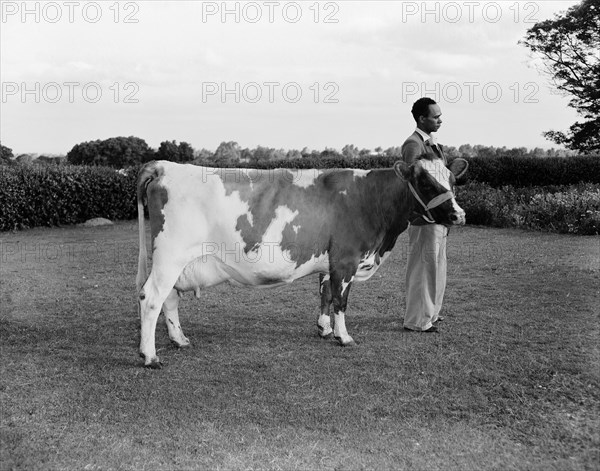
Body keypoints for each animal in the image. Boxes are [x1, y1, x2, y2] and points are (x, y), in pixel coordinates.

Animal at [136, 159, 468, 368]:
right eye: (426, 183)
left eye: (453, 181)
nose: (459, 215)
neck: (369, 200)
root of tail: (164, 166)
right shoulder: (346, 259)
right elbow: (341, 300)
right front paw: (344, 337)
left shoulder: (329, 260)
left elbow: (325, 294)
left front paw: (324, 329)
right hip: (170, 255)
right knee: (151, 298)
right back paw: (149, 356)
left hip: (178, 263)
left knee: (169, 299)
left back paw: (179, 340)